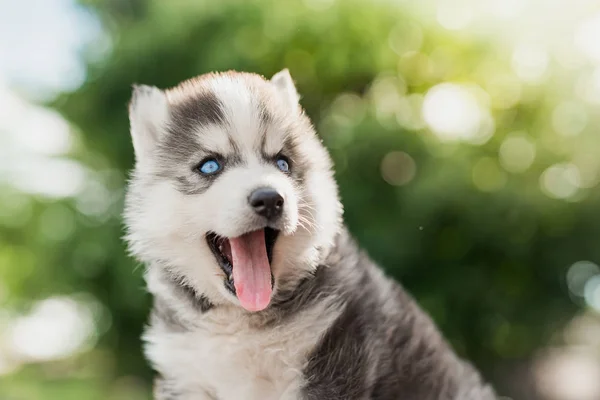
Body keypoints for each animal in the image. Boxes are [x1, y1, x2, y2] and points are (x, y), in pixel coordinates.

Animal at [123, 70, 496, 398]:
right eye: (210, 166)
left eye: (282, 163)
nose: (269, 198)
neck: (243, 321)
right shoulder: (184, 373)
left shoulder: (333, 360)